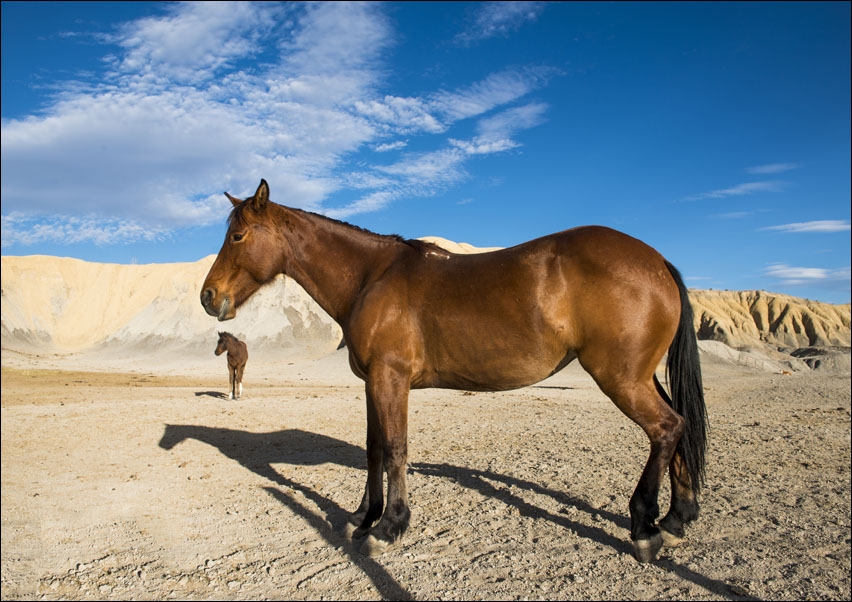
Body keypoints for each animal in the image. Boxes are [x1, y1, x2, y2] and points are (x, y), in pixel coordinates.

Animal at [200, 179, 707, 563]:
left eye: (238, 237)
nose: (208, 296)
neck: (370, 277)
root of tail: (656, 261)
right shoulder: (372, 383)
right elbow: (373, 450)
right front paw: (364, 517)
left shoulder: (391, 379)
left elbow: (395, 449)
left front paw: (390, 525)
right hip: (640, 376)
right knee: (679, 425)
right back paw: (676, 518)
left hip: (620, 377)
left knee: (666, 428)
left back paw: (645, 527)